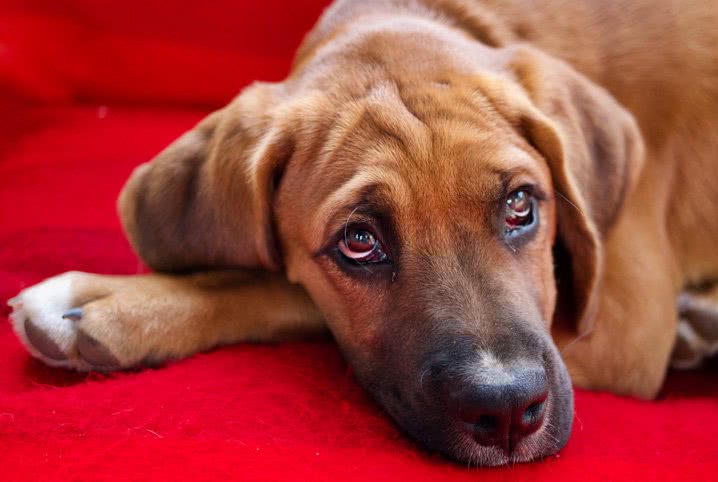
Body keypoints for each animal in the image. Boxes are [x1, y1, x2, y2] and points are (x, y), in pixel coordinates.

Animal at [7, 0, 718, 466]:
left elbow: (276, 286)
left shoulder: (624, 322)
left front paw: (114, 302)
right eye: (359, 242)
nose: (508, 413)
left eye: (521, 205)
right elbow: (280, 281)